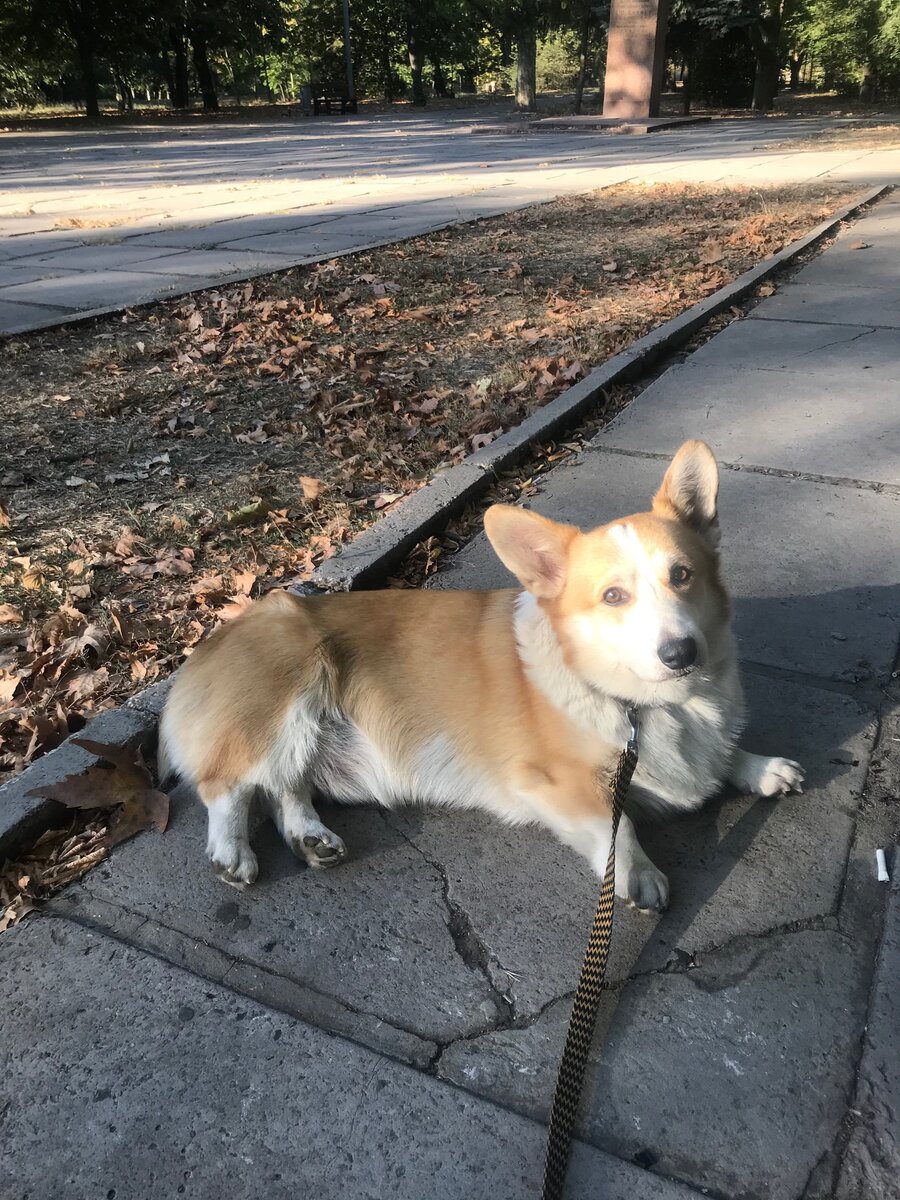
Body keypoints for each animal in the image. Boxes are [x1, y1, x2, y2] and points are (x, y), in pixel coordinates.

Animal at [158, 441, 806, 907]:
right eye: (613, 596)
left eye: (682, 575)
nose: (681, 653)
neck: (651, 704)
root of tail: (213, 640)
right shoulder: (558, 783)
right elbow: (614, 828)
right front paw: (638, 875)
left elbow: (723, 756)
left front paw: (760, 767)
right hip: (284, 697)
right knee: (230, 785)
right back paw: (231, 852)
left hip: (303, 735)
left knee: (285, 787)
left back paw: (310, 839)